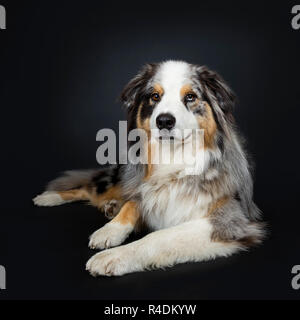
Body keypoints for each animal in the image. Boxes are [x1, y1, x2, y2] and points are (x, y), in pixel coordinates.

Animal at [32, 61, 264, 276]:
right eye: (155, 96)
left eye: (190, 97)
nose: (164, 121)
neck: (173, 160)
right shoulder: (142, 186)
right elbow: (131, 205)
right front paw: (110, 230)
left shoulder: (230, 220)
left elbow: (159, 236)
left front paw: (113, 257)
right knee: (90, 189)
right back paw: (50, 197)